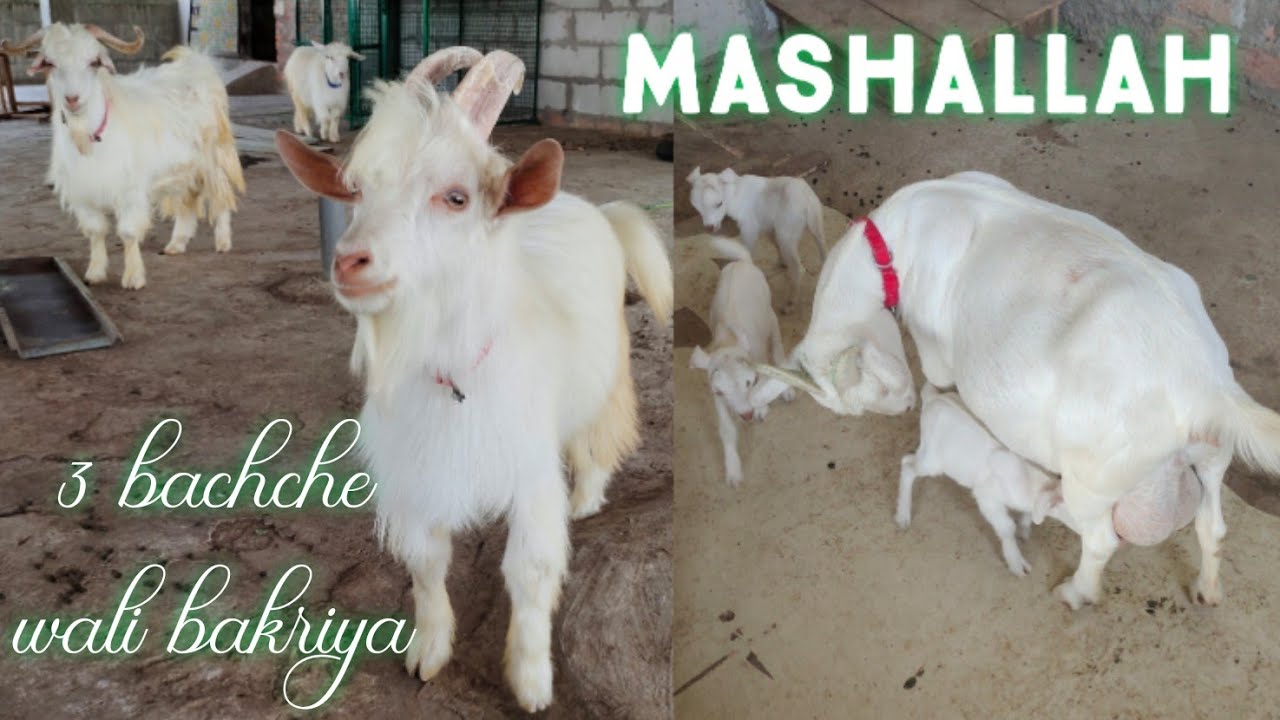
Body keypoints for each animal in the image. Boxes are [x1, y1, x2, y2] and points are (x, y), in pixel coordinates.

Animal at [1, 23, 244, 290]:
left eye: (94, 61)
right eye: (50, 63)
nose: (72, 99)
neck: (88, 139)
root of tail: (197, 62)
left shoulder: (130, 190)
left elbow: (128, 233)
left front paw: (133, 277)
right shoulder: (83, 192)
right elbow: (96, 231)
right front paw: (95, 273)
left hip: (213, 155)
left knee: (220, 192)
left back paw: (223, 242)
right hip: (182, 167)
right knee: (187, 198)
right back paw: (176, 243)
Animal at [274, 47, 673, 712]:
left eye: (456, 197)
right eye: (356, 189)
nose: (350, 261)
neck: (453, 377)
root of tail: (593, 208)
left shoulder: (529, 470)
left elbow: (529, 574)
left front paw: (532, 681)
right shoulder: (419, 474)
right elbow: (427, 564)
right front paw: (428, 653)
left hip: (607, 372)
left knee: (596, 438)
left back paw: (588, 500)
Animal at [686, 167, 828, 311]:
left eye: (719, 204)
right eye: (697, 207)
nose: (709, 227)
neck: (735, 195)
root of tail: (806, 202)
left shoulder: (749, 227)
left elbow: (746, 248)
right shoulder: (768, 225)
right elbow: (774, 243)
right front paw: (782, 261)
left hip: (787, 231)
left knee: (798, 269)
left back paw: (790, 304)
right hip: (815, 221)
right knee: (822, 246)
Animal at [690, 237, 791, 486]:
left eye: (749, 382)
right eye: (719, 391)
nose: (746, 415)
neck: (728, 339)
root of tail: (742, 262)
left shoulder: (759, 356)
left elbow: (764, 378)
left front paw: (763, 408)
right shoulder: (714, 392)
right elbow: (726, 430)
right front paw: (733, 473)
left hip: (770, 316)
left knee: (777, 345)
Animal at [897, 383, 1075, 576]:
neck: (1031, 481)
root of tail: (933, 398)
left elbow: (1026, 516)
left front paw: (1024, 531)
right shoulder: (987, 498)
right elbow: (1006, 527)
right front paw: (1017, 564)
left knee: (907, 460)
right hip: (933, 462)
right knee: (907, 466)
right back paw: (903, 516)